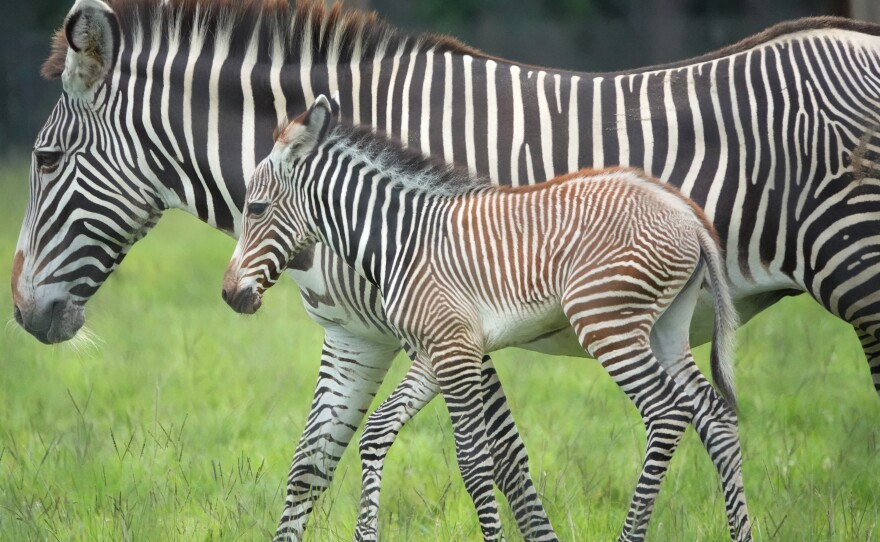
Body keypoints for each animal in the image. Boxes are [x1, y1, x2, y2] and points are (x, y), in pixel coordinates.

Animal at [223, 95, 752, 540]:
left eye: (256, 207)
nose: (230, 296)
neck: (401, 239)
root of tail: (684, 211)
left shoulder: (455, 350)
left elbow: (475, 462)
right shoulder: (435, 353)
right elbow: (376, 433)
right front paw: (364, 534)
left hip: (605, 320)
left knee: (667, 411)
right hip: (666, 327)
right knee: (713, 411)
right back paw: (740, 532)